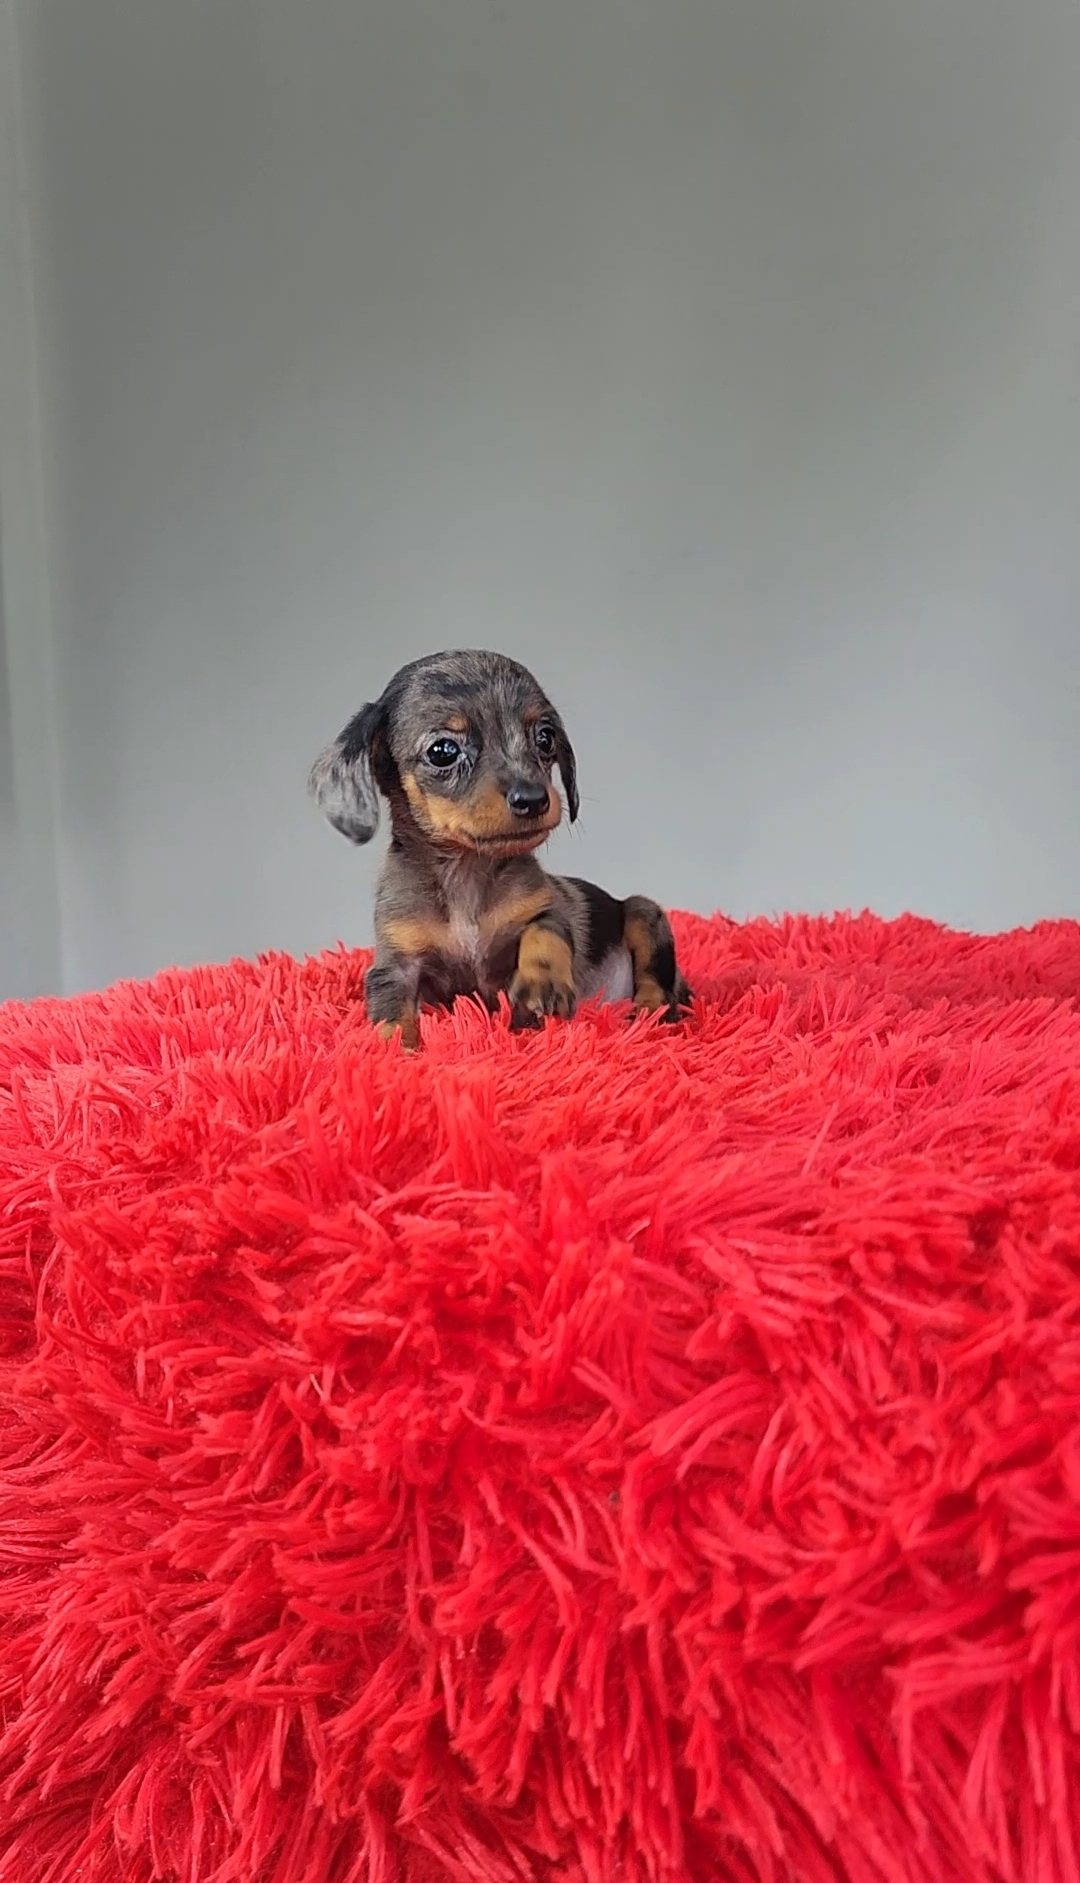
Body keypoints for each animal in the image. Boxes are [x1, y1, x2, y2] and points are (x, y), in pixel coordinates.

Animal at [309, 650, 691, 1049]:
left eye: (545, 737)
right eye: (443, 751)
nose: (533, 799)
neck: (466, 871)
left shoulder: (547, 911)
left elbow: (543, 936)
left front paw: (541, 985)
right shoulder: (395, 962)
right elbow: (391, 1017)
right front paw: (393, 1050)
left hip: (643, 912)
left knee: (657, 982)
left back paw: (651, 1015)